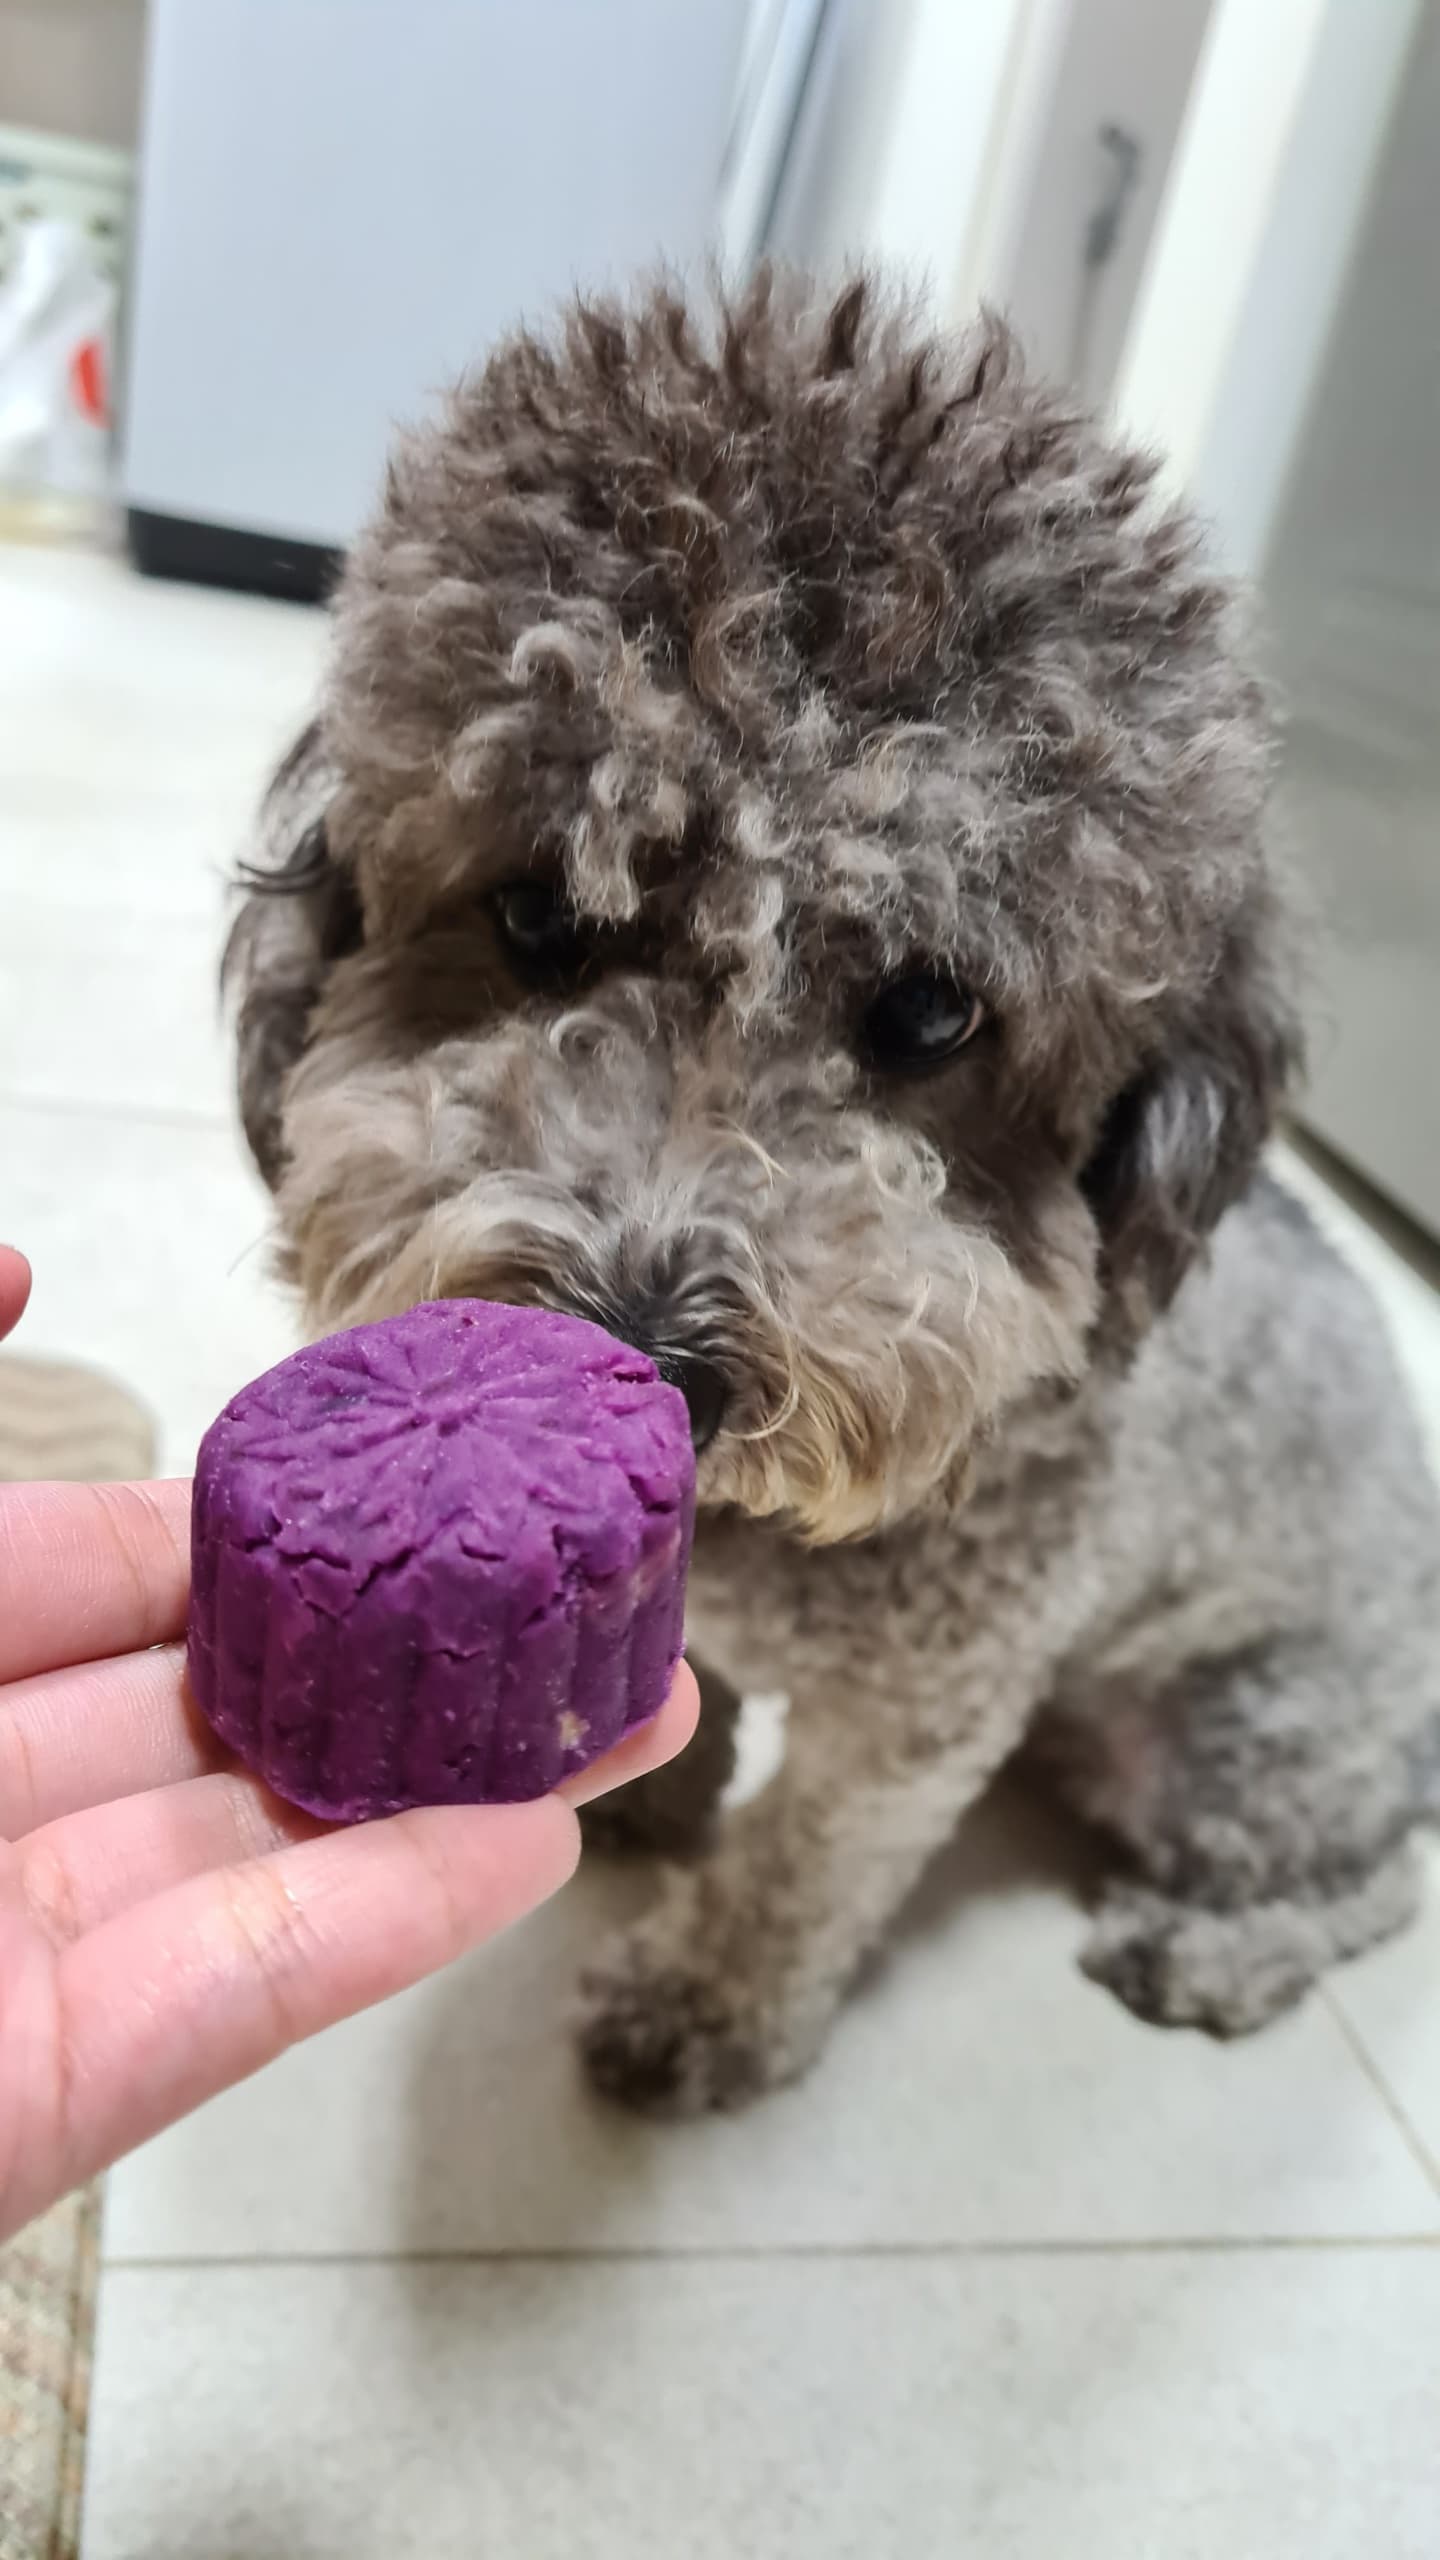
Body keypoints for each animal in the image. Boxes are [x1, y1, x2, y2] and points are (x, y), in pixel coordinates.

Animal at [226, 270, 1434, 2109]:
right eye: (535, 914)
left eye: (933, 1012)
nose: (656, 1358)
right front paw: (654, 1782)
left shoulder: (913, 1726)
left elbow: (802, 1868)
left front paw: (699, 2007)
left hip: (1263, 1740)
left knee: (1370, 1880)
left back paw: (1209, 1957)